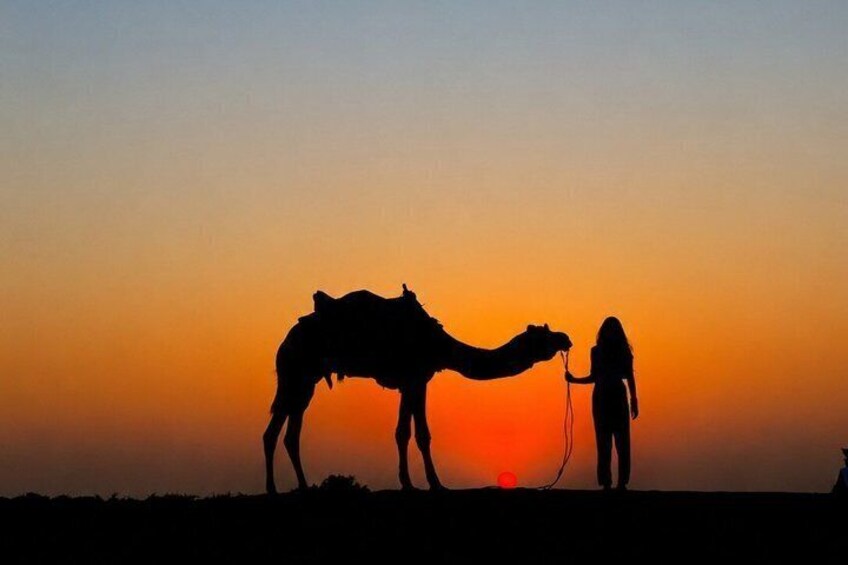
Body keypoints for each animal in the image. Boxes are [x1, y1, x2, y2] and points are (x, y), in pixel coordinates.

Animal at [263, 285, 572, 493]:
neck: (440, 345)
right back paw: (272, 489)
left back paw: (303, 487)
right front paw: (433, 484)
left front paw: (411, 483)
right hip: (295, 372)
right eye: (543, 335)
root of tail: (285, 340)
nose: (566, 338)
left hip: (306, 380)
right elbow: (419, 434)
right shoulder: (417, 378)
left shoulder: (412, 382)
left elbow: (405, 432)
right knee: (273, 431)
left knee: (291, 432)